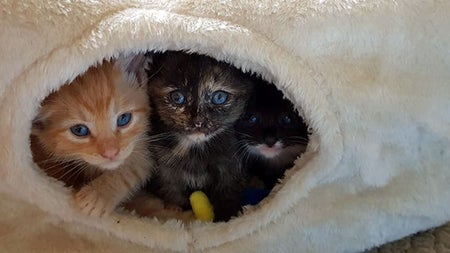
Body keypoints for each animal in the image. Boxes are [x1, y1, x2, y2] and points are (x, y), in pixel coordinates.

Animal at [30, 55, 155, 217]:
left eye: (124, 119)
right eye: (79, 130)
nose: (111, 153)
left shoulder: (141, 145)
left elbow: (135, 166)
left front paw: (98, 194)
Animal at [146, 50, 255, 220]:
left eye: (219, 97)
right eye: (177, 97)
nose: (198, 122)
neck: (194, 150)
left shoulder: (231, 164)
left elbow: (229, 190)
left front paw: (226, 215)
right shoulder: (164, 165)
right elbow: (170, 187)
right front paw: (175, 208)